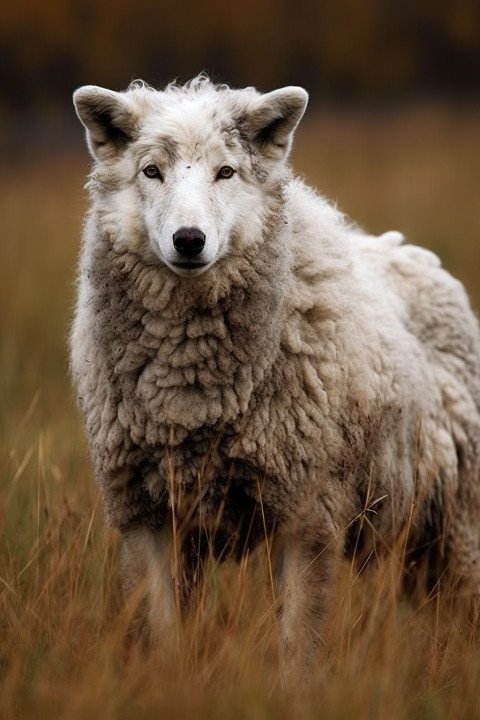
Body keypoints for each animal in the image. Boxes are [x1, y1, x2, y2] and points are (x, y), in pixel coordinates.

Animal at [71, 76, 480, 682]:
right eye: (151, 171)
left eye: (226, 171)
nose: (189, 240)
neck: (191, 397)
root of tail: (405, 246)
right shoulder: (150, 518)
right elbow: (163, 638)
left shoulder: (308, 516)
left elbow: (296, 650)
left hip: (458, 530)